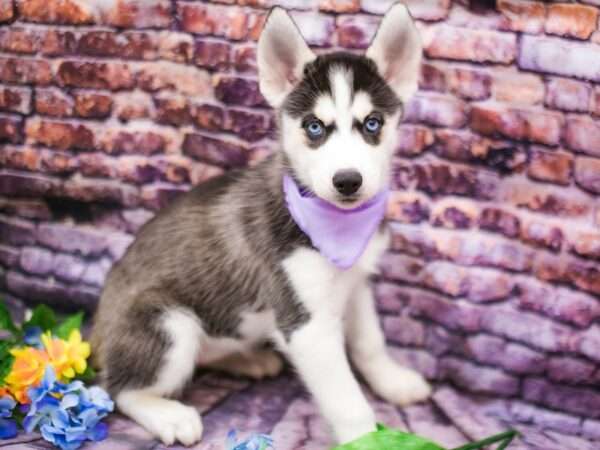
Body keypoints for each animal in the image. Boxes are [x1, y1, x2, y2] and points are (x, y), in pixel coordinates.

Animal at [91, 2, 428, 446]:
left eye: (372, 123)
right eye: (314, 127)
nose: (347, 181)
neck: (333, 223)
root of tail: (96, 332)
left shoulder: (356, 284)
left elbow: (371, 341)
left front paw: (393, 381)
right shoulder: (305, 325)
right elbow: (349, 403)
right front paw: (367, 441)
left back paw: (248, 360)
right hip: (168, 324)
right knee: (120, 390)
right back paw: (168, 414)